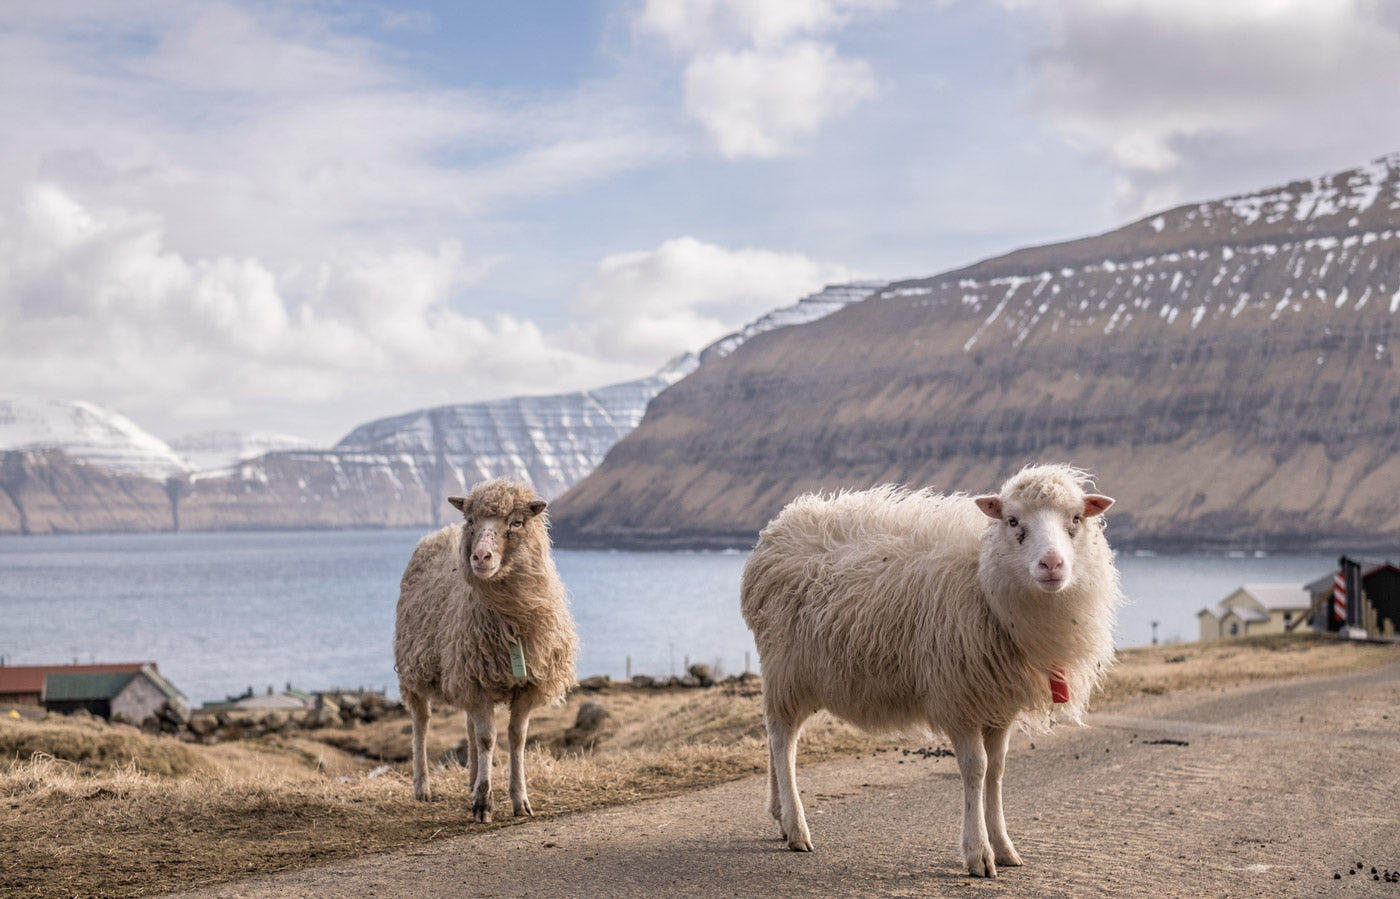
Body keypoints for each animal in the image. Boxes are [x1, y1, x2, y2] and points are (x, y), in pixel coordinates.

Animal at [392, 476, 576, 817]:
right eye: (471, 521)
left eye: (516, 522)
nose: (480, 557)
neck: (511, 623)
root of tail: (440, 532)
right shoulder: (478, 682)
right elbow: (488, 738)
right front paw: (483, 802)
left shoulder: (525, 683)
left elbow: (516, 738)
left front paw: (519, 799)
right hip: (415, 668)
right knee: (421, 723)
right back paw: (422, 787)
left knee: (467, 726)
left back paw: (472, 778)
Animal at [739, 462, 1120, 873]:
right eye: (1013, 520)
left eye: (1076, 518)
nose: (1051, 564)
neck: (983, 580)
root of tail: (779, 526)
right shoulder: (959, 698)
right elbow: (976, 769)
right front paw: (978, 853)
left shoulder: (999, 703)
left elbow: (997, 770)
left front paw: (1004, 846)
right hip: (787, 670)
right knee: (782, 741)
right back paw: (796, 827)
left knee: (777, 739)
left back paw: (779, 816)